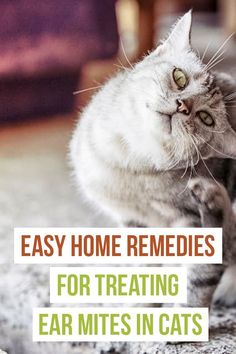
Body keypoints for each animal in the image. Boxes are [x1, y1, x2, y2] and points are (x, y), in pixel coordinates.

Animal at [70, 11, 236, 308]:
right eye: (179, 78)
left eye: (206, 118)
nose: (183, 106)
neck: (128, 163)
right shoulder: (134, 223)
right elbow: (146, 272)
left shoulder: (189, 226)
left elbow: (200, 279)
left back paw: (211, 196)